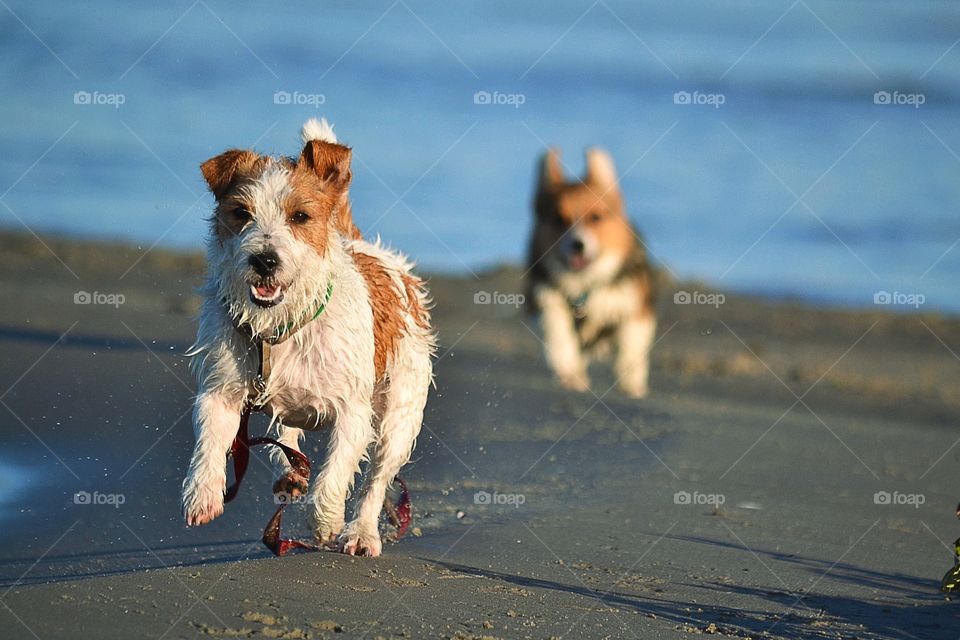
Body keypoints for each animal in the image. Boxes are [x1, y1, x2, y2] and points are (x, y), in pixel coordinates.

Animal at [181, 119, 436, 556]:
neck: (278, 329)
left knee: (376, 479)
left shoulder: (353, 413)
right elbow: (210, 439)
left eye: (300, 216)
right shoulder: (223, 391)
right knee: (286, 437)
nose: (264, 260)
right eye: (241, 213)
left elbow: (334, 476)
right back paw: (291, 473)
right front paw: (203, 494)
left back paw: (361, 532)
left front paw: (326, 522)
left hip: (399, 416)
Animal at [524, 148, 660, 398]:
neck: (584, 285)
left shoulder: (636, 309)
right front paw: (567, 370)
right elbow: (558, 333)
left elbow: (631, 349)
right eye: (559, 219)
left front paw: (631, 384)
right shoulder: (547, 299)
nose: (578, 245)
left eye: (596, 217)